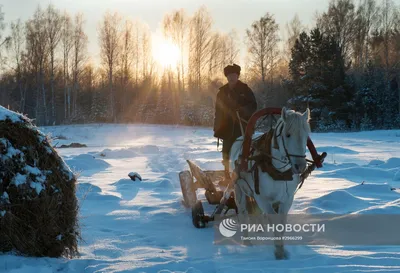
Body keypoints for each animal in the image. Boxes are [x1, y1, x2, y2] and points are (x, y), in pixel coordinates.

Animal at [228, 105, 310, 258]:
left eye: (306, 135)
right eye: (288, 135)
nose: (300, 166)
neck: (278, 171)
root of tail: (240, 137)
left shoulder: (287, 199)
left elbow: (281, 222)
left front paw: (281, 249)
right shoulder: (263, 198)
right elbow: (274, 221)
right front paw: (278, 251)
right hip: (238, 188)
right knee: (243, 212)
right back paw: (247, 241)